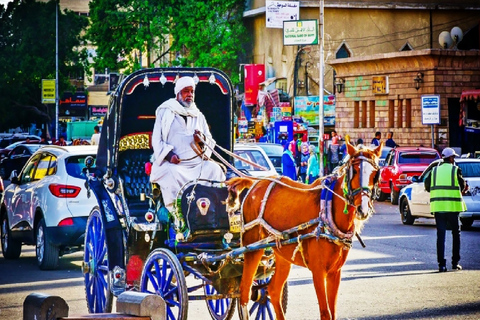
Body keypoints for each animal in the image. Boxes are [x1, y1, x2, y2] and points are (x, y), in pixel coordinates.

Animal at [226, 142, 382, 320]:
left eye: (375, 174)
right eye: (354, 171)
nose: (363, 209)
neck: (328, 209)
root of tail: (256, 183)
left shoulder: (335, 272)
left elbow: (333, 313)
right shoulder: (318, 271)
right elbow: (325, 313)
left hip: (282, 255)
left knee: (274, 290)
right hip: (252, 248)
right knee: (245, 291)